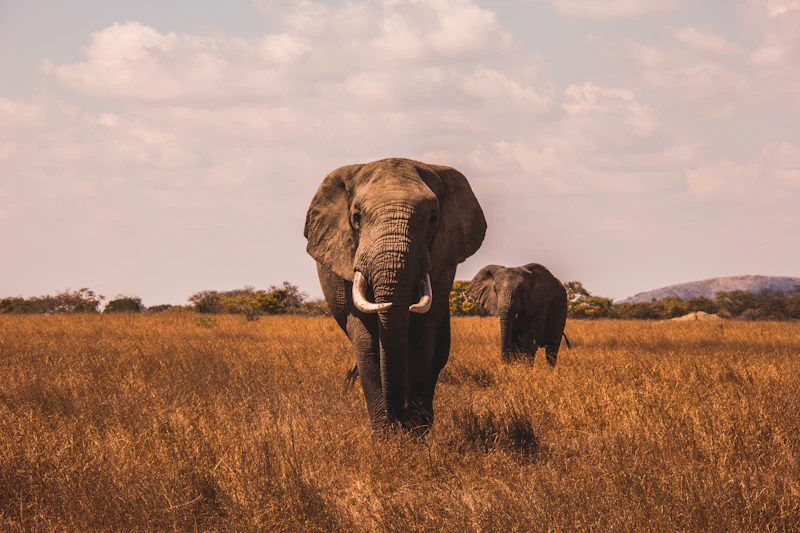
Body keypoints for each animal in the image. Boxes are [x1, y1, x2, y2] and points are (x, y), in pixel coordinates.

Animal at [304, 158, 486, 433]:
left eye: (433, 219)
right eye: (356, 217)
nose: (398, 418)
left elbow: (423, 337)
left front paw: (414, 431)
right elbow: (367, 341)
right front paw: (386, 435)